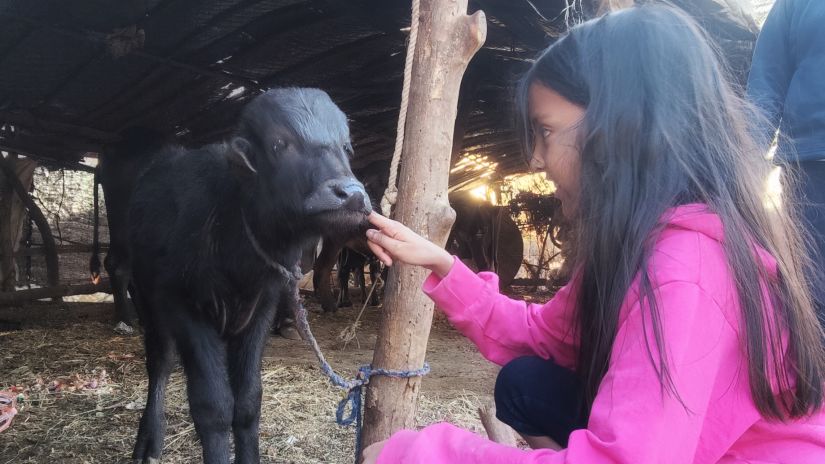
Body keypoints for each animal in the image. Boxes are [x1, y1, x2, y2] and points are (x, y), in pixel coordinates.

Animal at [127, 88, 368, 464]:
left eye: (346, 146)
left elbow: (248, 400)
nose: (351, 195)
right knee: (159, 364)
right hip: (146, 301)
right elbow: (213, 406)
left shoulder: (261, 309)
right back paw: (149, 440)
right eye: (279, 143)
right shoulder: (184, 307)